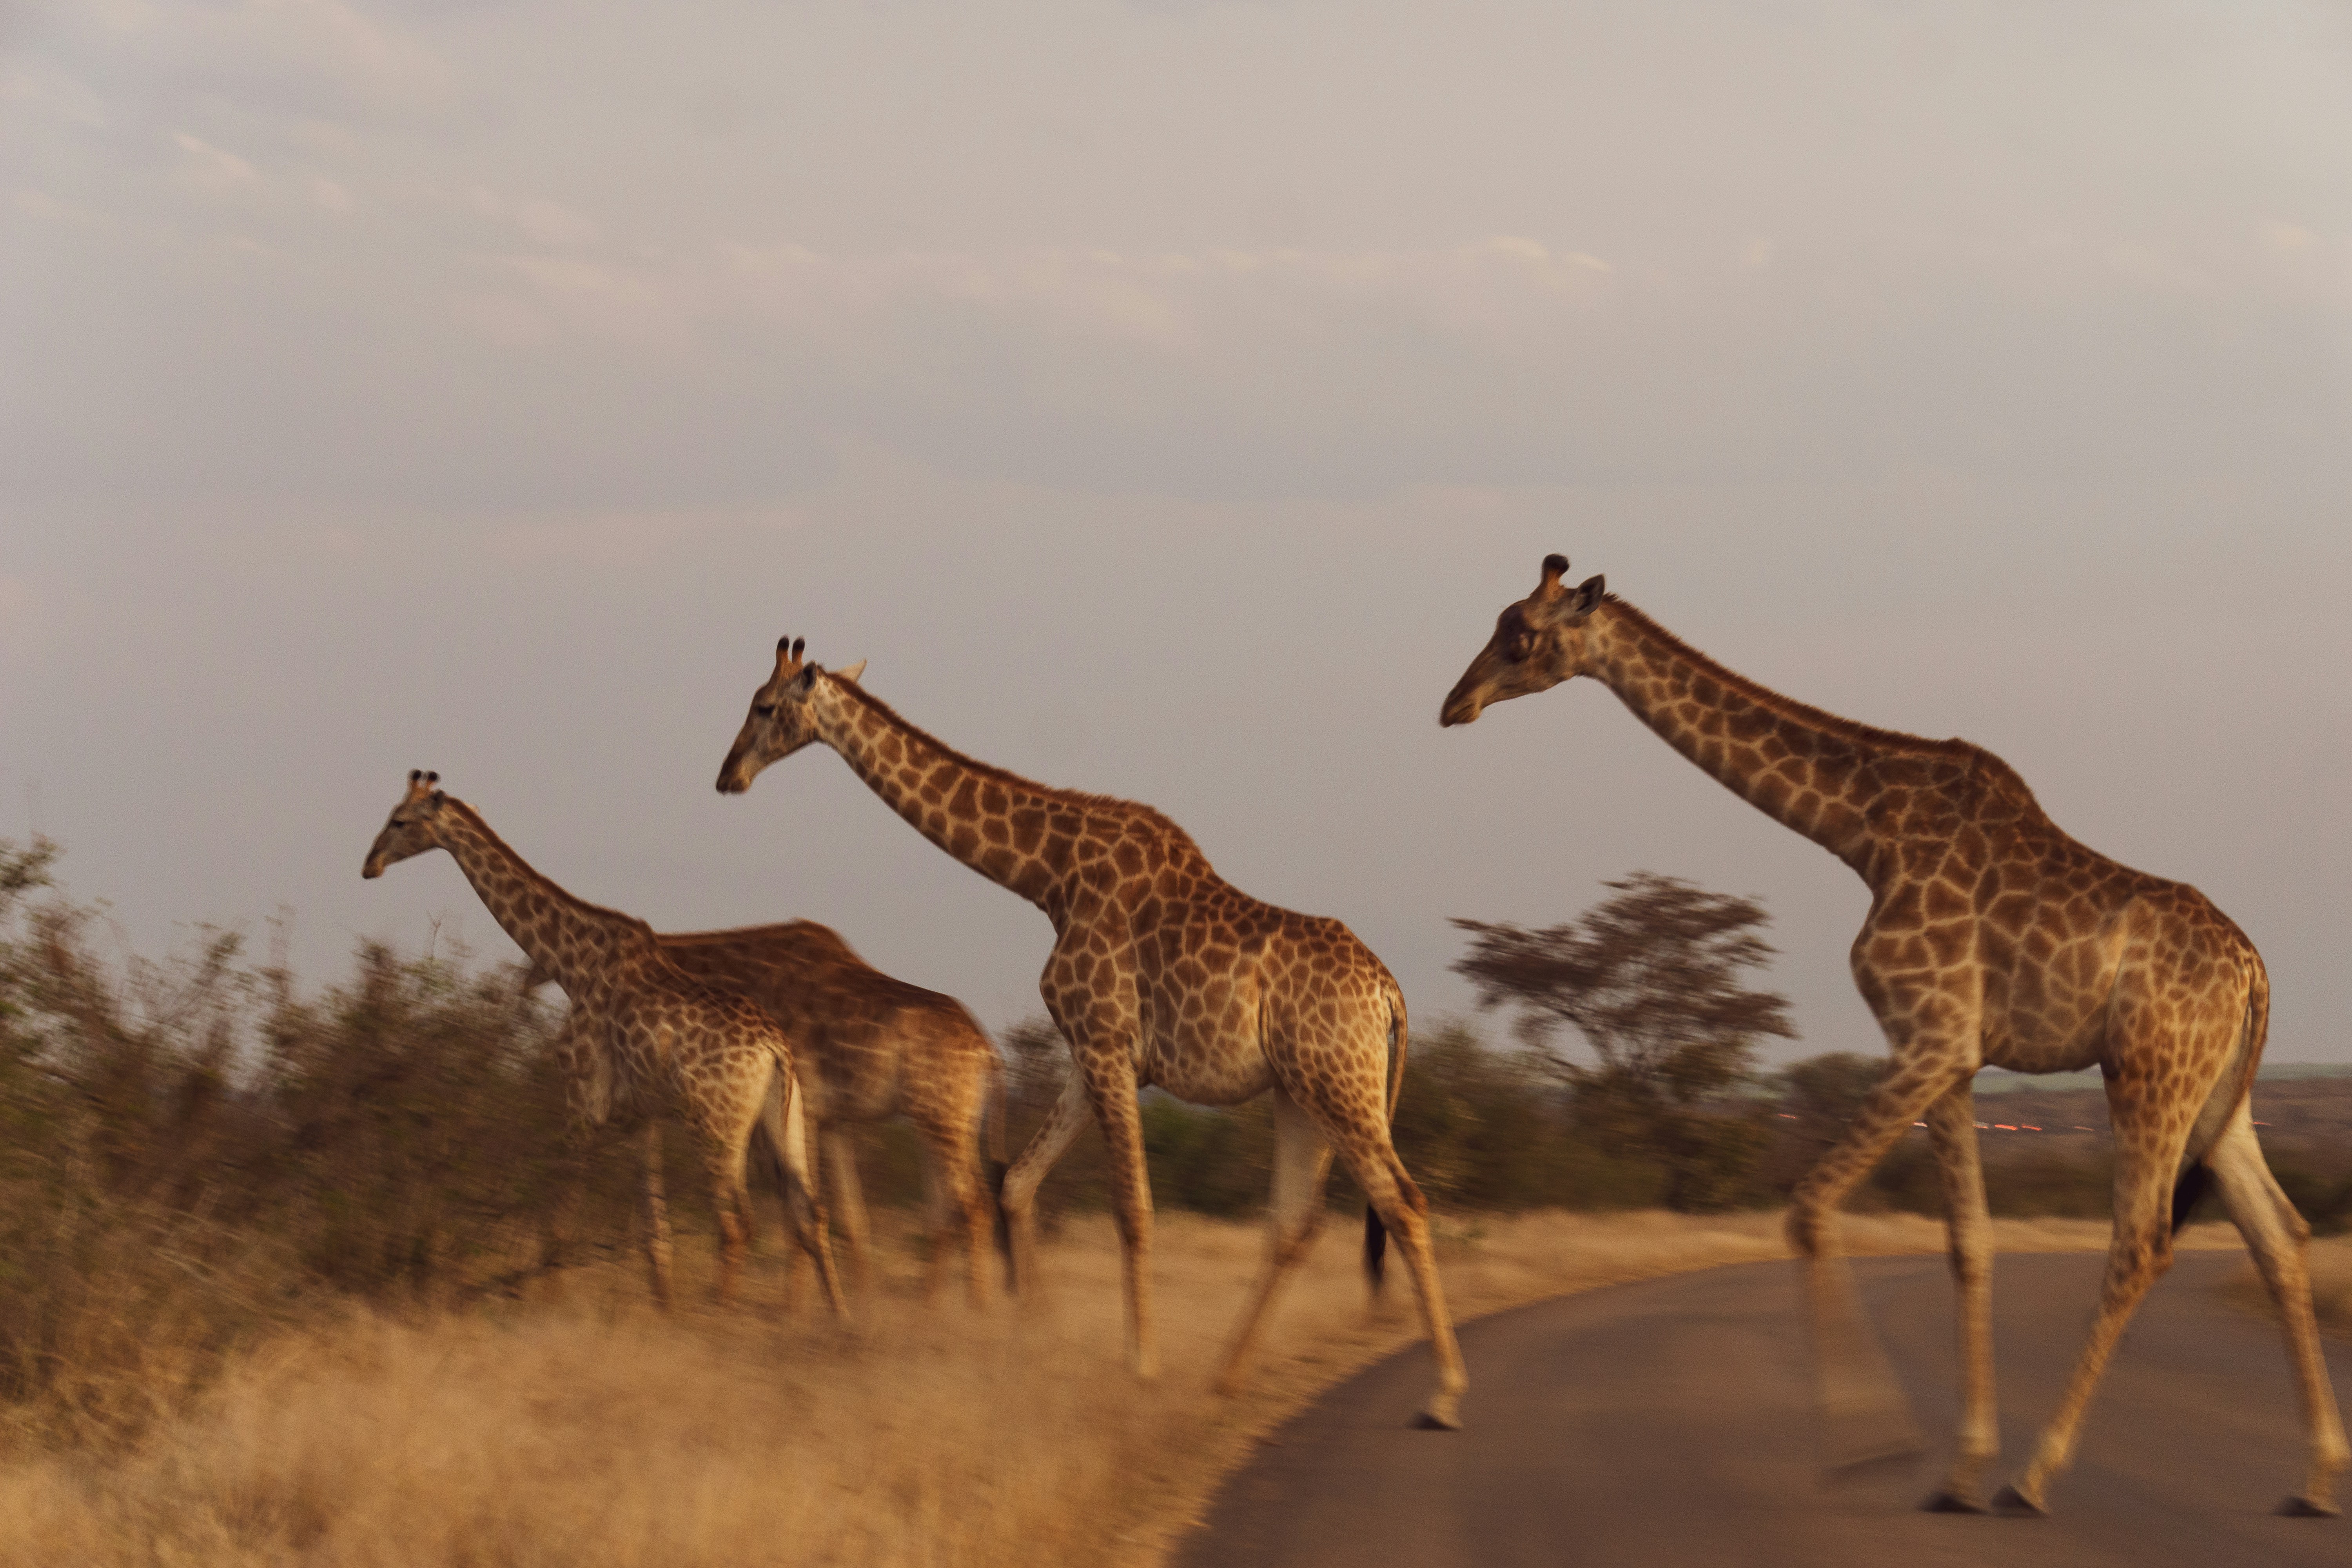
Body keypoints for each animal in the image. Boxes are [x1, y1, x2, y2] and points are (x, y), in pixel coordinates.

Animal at [362, 770, 847, 1317]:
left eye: (399, 821)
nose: (369, 865)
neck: (570, 961)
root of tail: (775, 1051)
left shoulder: (581, 1095)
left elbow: (560, 1212)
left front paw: (547, 1304)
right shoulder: (641, 1114)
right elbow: (654, 1230)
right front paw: (662, 1305)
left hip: (715, 1123)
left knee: (738, 1221)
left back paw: (718, 1312)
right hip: (784, 1122)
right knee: (812, 1213)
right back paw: (839, 1319)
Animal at [530, 920, 1007, 1305]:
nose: (562, 1046)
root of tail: (988, 1054)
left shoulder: (805, 1109)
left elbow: (800, 1216)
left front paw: (793, 1312)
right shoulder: (830, 1120)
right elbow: (852, 1221)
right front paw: (855, 1307)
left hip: (942, 1118)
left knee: (971, 1204)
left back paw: (975, 1313)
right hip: (949, 1122)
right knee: (952, 1209)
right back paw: (936, 1311)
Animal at [714, 639, 1468, 1427]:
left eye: (763, 706)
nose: (727, 776)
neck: (1049, 877)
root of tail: (1389, 994)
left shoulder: (1106, 1044)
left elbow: (1132, 1210)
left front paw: (1141, 1367)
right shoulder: (1095, 1056)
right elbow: (1017, 1184)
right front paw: (1035, 1339)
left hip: (1339, 1086)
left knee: (1403, 1203)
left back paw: (1444, 1393)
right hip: (1302, 1094)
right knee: (1295, 1223)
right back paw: (1224, 1379)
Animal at [1438, 554, 2347, 1515]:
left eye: (1520, 635)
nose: (1455, 702)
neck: (1861, 833)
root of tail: (2255, 971)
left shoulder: (1931, 1037)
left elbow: (1808, 1207)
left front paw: (1871, 1447)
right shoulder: (1954, 1059)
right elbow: (1968, 1244)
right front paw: (1957, 1468)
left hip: (2146, 1073)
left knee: (2141, 1246)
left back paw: (2037, 1475)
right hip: (2217, 1096)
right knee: (2281, 1232)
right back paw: (2316, 1478)